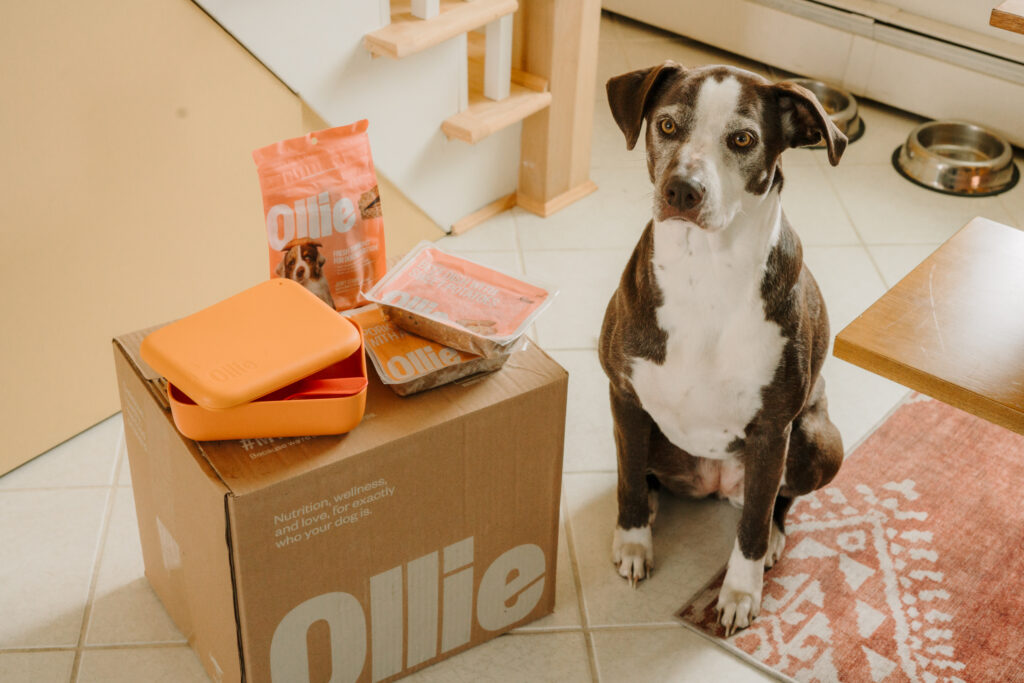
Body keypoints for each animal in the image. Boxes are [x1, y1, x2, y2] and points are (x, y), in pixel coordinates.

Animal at [598, 63, 847, 634]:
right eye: (667, 125)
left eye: (743, 139)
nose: (682, 190)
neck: (705, 270)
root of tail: (713, 484)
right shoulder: (623, 394)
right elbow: (628, 479)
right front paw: (634, 540)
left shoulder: (773, 429)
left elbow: (752, 524)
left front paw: (739, 592)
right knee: (638, 469)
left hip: (818, 441)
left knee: (776, 500)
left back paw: (774, 537)